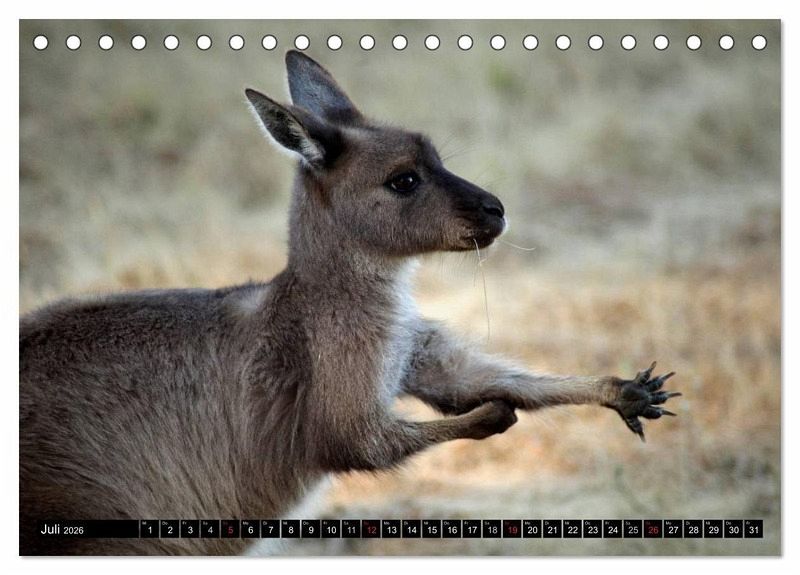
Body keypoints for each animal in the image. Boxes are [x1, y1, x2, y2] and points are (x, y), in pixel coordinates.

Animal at [19, 50, 680, 555]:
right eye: (404, 180)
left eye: (439, 161)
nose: (496, 210)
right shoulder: (339, 386)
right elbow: (360, 442)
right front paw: (494, 416)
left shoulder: (410, 348)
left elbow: (488, 380)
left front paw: (626, 392)